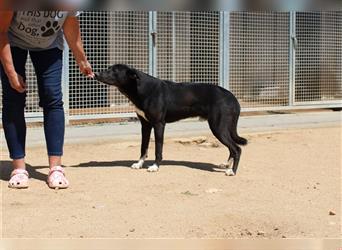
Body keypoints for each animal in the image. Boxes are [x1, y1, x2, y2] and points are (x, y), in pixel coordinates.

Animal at [95, 64, 247, 176]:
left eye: (114, 71)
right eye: (108, 68)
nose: (96, 73)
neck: (141, 88)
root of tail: (232, 96)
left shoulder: (159, 124)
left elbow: (158, 148)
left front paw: (155, 166)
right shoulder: (145, 125)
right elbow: (143, 147)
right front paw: (139, 164)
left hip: (218, 127)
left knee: (237, 149)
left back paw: (232, 171)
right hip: (222, 127)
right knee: (232, 148)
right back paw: (227, 165)